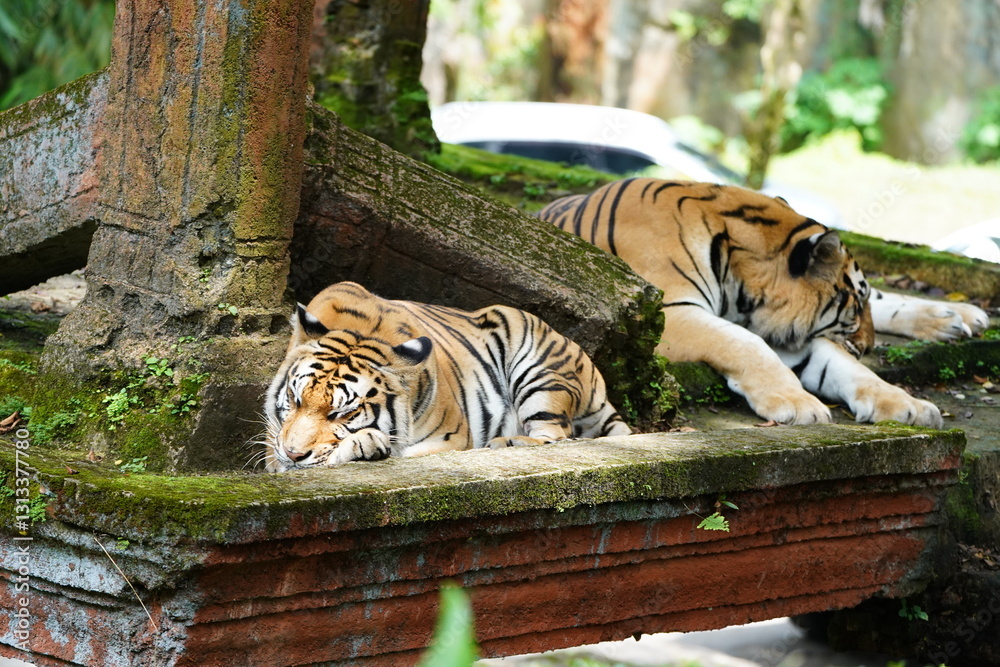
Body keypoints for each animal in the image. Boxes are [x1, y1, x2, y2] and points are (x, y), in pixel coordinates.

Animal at [262, 281, 631, 472]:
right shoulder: (273, 442)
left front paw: (362, 444)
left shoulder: (449, 441)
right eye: (295, 399)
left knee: (558, 437)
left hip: (539, 372)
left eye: (344, 413)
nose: (294, 454)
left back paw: (507, 443)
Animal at [537, 177, 985, 429]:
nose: (870, 346)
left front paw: (910, 406)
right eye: (853, 307)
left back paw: (957, 316)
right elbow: (744, 343)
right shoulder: (665, 313)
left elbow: (848, 368)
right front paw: (799, 405)